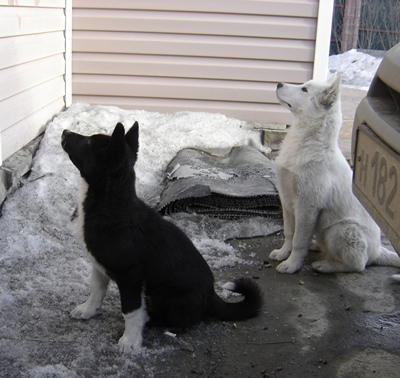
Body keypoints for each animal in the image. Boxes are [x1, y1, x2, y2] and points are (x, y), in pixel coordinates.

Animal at [61, 122, 264, 352]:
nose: (65, 132)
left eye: (88, 142)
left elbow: (130, 310)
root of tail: (212, 297)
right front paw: (87, 310)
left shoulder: (130, 275)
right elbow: (96, 290)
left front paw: (130, 341)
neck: (108, 203)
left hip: (163, 294)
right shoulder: (99, 264)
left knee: (185, 319)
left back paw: (152, 320)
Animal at [268, 75, 400, 274]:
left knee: (358, 265)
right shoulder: (287, 200)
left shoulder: (307, 205)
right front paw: (283, 253)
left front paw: (292, 264)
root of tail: (378, 250)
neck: (306, 141)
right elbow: (289, 232)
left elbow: (299, 240)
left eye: (304, 90)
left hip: (340, 230)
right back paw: (316, 246)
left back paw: (325, 265)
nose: (278, 84)